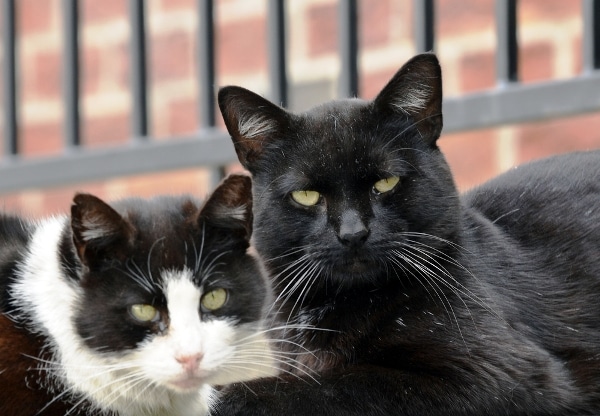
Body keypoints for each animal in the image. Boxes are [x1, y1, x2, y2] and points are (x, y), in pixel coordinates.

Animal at [216, 53, 600, 414]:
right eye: (307, 195)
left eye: (386, 182)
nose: (353, 233)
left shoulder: (498, 376)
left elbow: (331, 385)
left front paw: (222, 395)